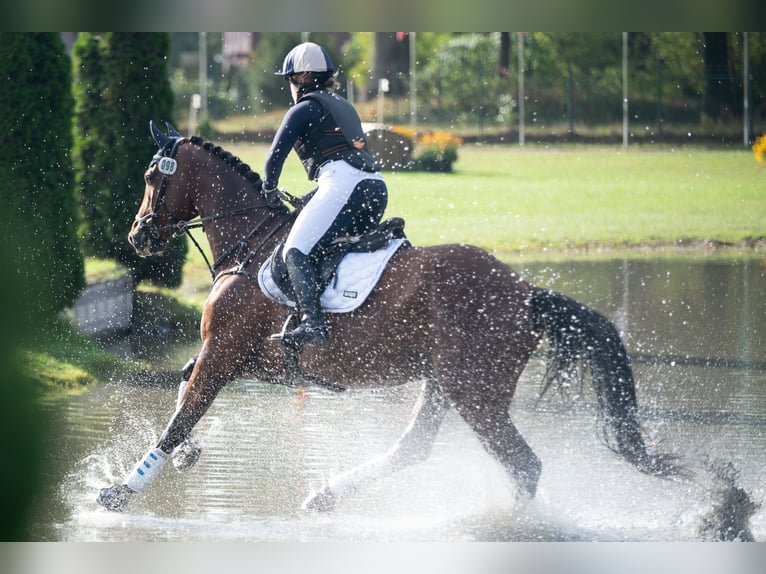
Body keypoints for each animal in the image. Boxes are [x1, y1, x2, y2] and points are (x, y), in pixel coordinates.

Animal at [97, 122, 683, 513]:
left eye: (151, 176)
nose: (137, 235)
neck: (251, 243)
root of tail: (526, 293)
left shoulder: (224, 352)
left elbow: (181, 414)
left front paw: (123, 489)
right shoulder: (249, 359)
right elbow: (182, 389)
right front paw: (188, 456)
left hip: (476, 393)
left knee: (524, 464)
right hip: (444, 382)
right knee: (415, 448)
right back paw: (327, 495)